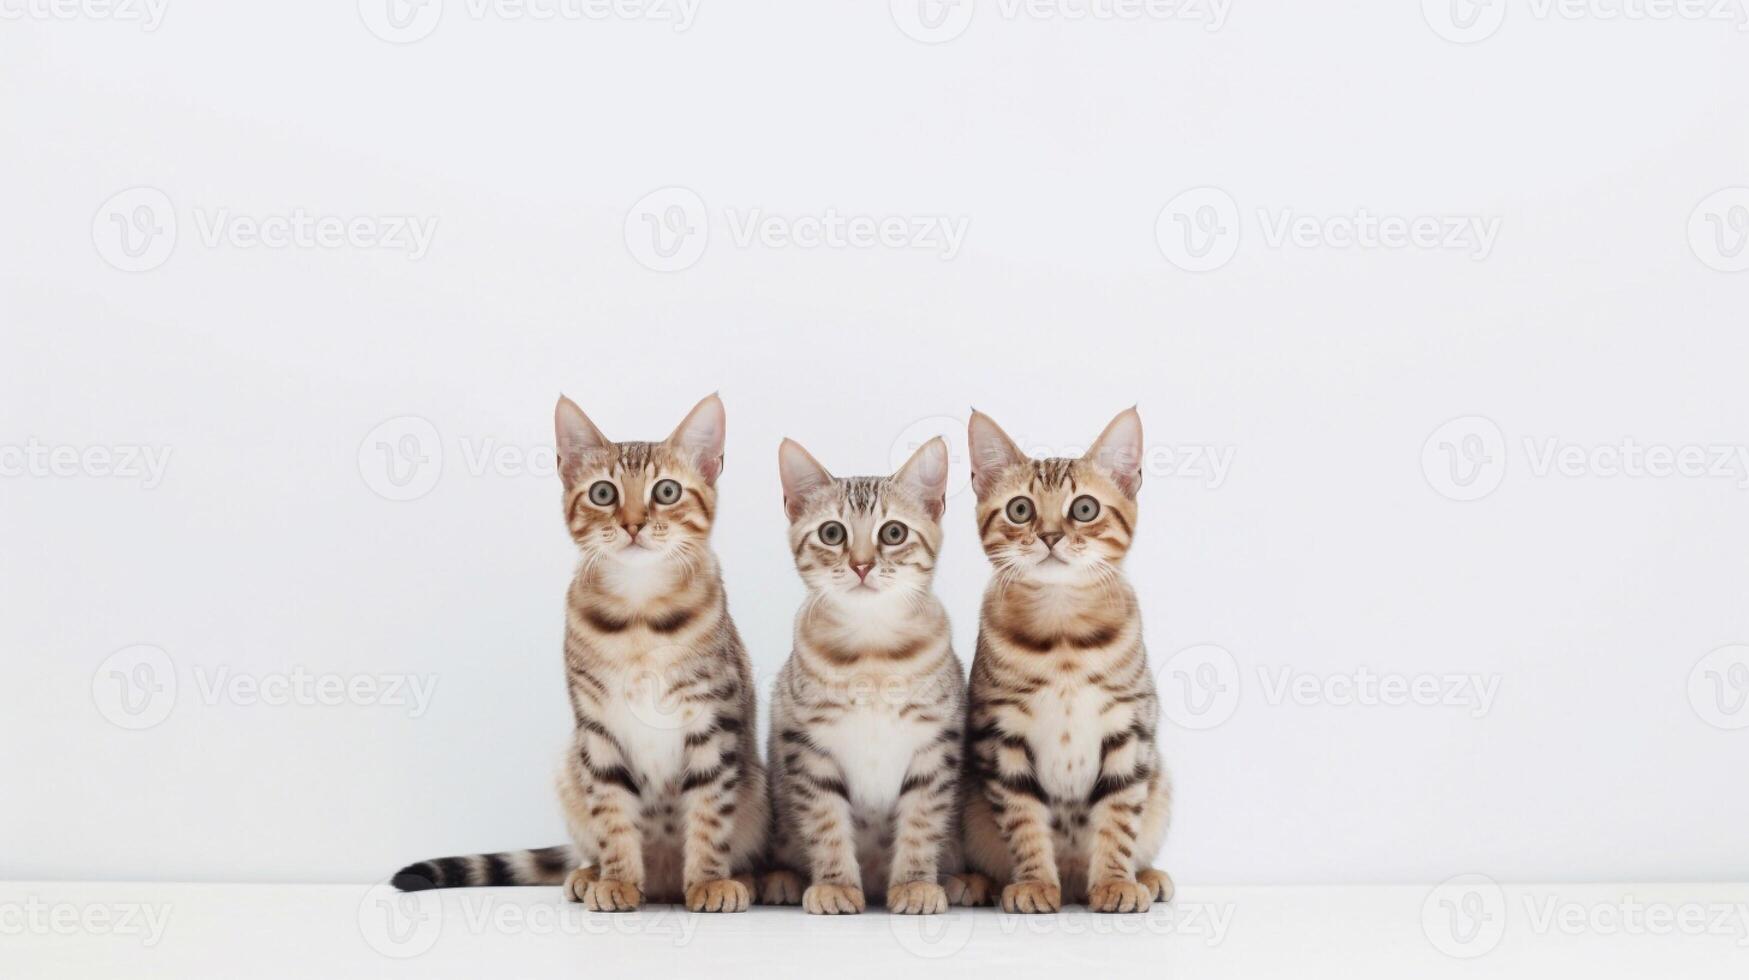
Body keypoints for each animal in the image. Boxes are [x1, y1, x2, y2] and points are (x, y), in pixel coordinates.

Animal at [393, 393, 769, 917]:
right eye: (603, 494)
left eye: (667, 491)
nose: (632, 524)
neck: (639, 615)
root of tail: (665, 885)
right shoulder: (598, 728)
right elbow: (612, 813)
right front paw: (617, 879)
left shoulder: (712, 721)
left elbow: (710, 812)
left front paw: (710, 881)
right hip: (569, 772)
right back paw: (589, 873)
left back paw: (743, 878)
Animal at [762, 441, 993, 917]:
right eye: (832, 533)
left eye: (894, 533)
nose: (862, 565)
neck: (873, 654)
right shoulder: (808, 747)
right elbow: (826, 823)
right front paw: (834, 884)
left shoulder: (935, 746)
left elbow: (922, 823)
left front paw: (915, 883)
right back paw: (783, 878)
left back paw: (963, 880)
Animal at [958, 406, 1175, 910]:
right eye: (1020, 509)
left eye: (1084, 508)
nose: (1051, 536)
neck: (1064, 641)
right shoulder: (1003, 737)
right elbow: (1022, 819)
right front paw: (1035, 882)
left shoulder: (1129, 730)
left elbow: (1118, 818)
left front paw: (1115, 881)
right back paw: (977, 883)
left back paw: (1146, 876)